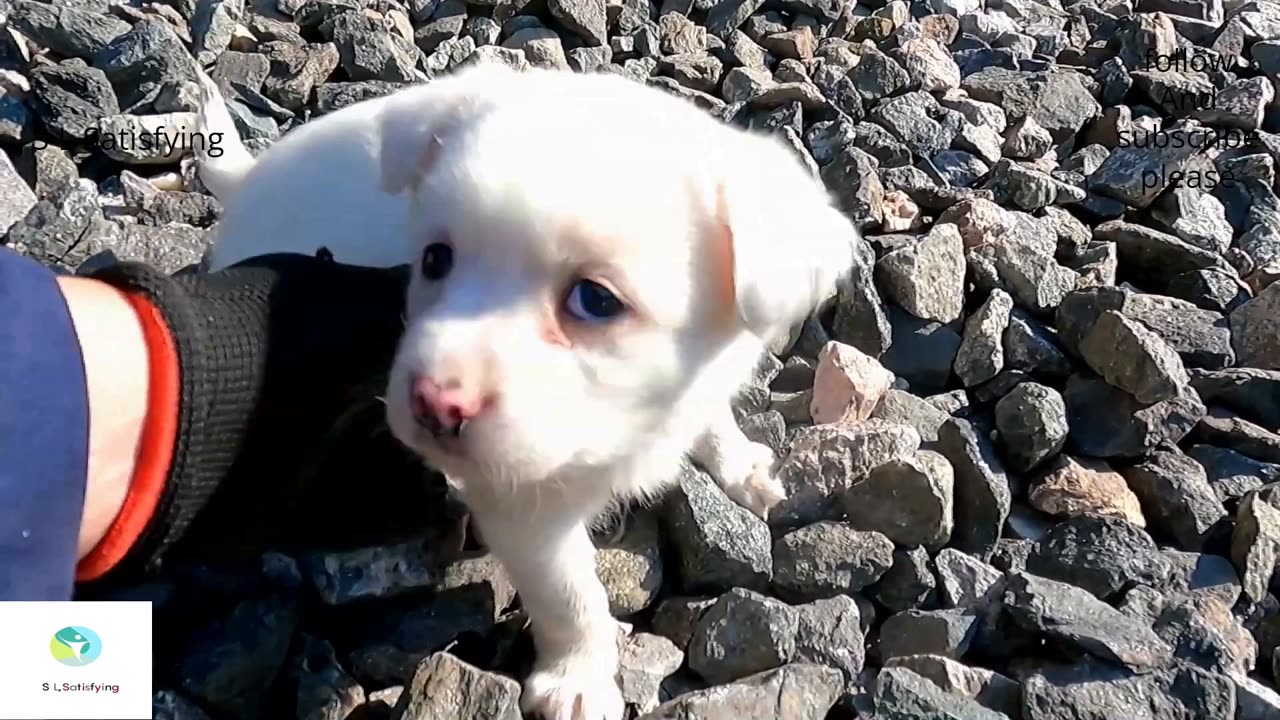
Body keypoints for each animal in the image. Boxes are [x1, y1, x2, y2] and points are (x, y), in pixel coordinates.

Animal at [197, 64, 860, 717]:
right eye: (434, 260)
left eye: (595, 300)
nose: (434, 404)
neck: (630, 428)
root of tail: (248, 181)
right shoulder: (523, 510)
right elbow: (570, 594)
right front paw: (578, 678)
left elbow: (712, 416)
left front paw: (740, 464)